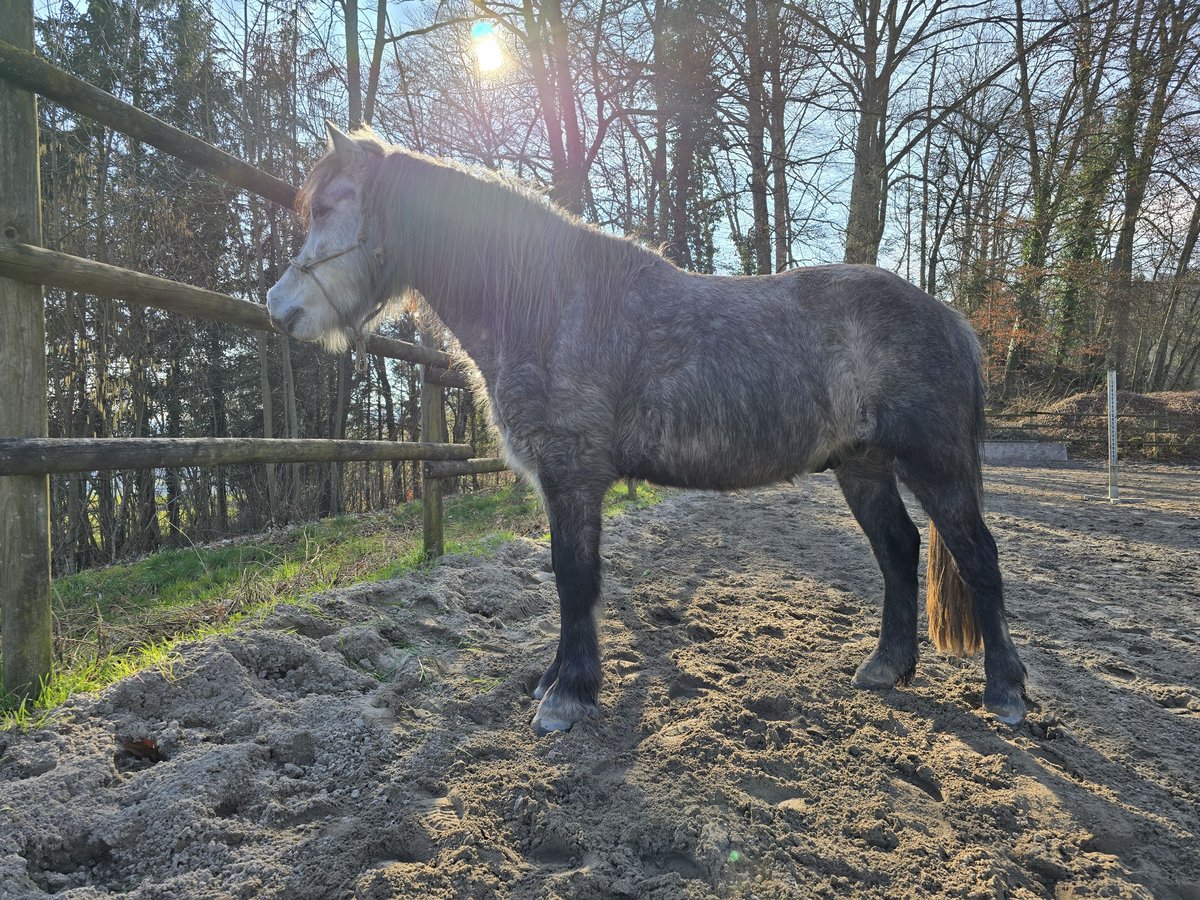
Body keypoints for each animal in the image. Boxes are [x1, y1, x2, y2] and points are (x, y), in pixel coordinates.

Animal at [267, 123, 1027, 734]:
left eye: (331, 205)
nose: (280, 306)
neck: (554, 307)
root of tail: (950, 319)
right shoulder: (560, 484)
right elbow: (566, 579)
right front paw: (556, 680)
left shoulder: (574, 477)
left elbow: (575, 579)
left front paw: (568, 697)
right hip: (862, 465)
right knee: (899, 551)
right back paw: (886, 667)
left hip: (935, 466)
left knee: (978, 558)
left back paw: (1006, 694)